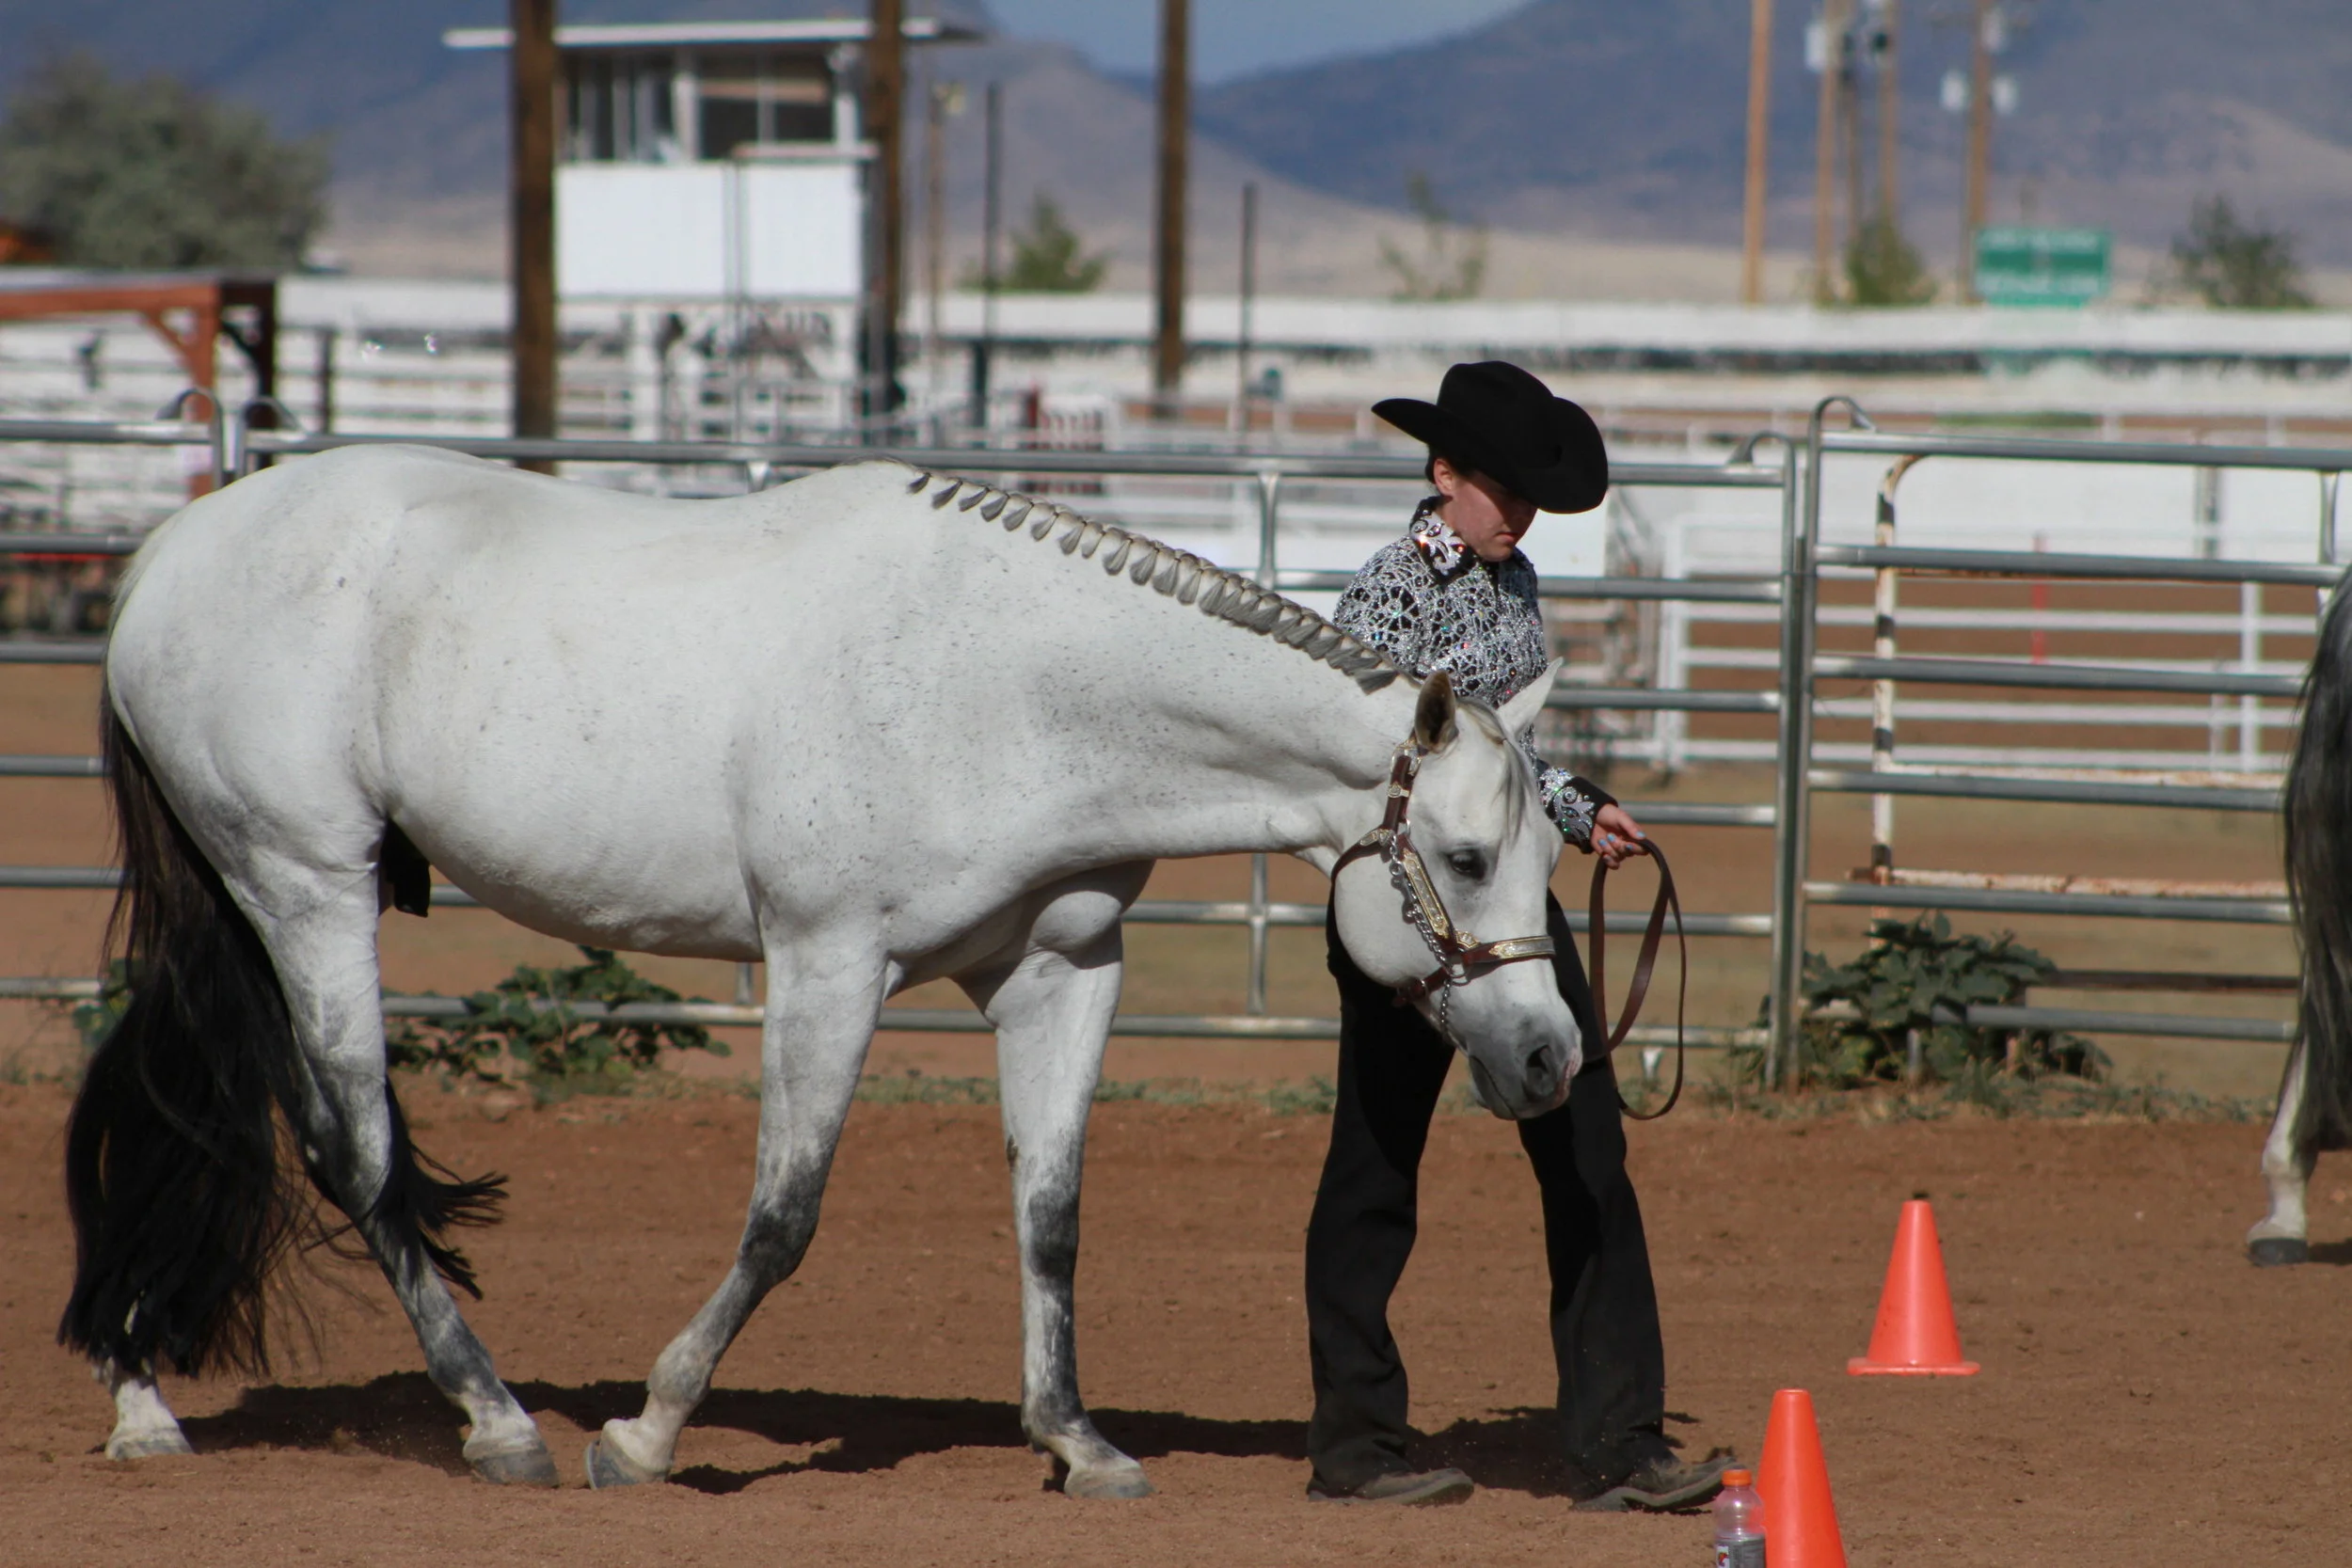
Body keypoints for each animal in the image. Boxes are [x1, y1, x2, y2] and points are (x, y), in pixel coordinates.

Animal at [61, 446, 1584, 1494]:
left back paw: (143, 1396)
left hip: (251, 899)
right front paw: (647, 1429)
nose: (1550, 1056)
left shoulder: (1062, 968)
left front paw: (1077, 1441)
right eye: (1460, 855)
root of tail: (174, 549)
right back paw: (495, 1421)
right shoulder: (827, 963)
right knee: (354, 1147)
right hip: (307, 885)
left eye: (1544, 859)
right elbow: (782, 1217)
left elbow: (1050, 1214)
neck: (1009, 679)